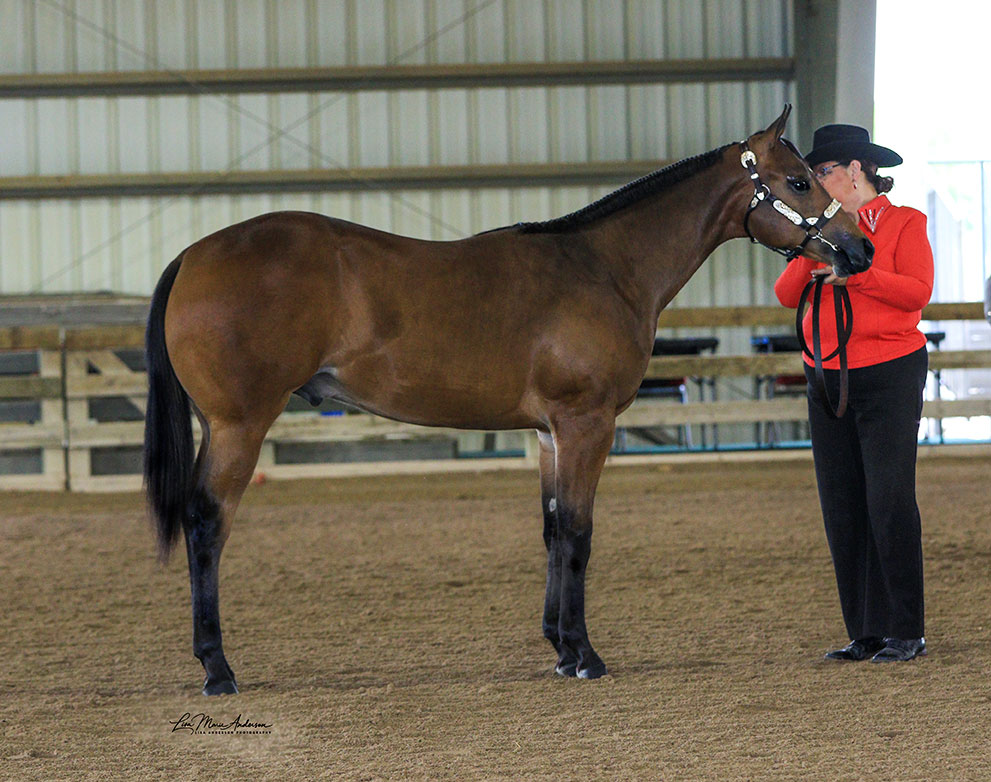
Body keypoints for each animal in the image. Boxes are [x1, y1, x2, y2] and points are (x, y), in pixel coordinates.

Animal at [143, 105, 872, 695]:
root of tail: (194, 255)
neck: (605, 268)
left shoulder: (550, 432)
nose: (859, 249)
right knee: (206, 522)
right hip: (239, 424)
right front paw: (584, 656)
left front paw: (559, 648)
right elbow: (577, 532)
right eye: (799, 182)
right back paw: (217, 668)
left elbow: (551, 529)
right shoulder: (586, 424)